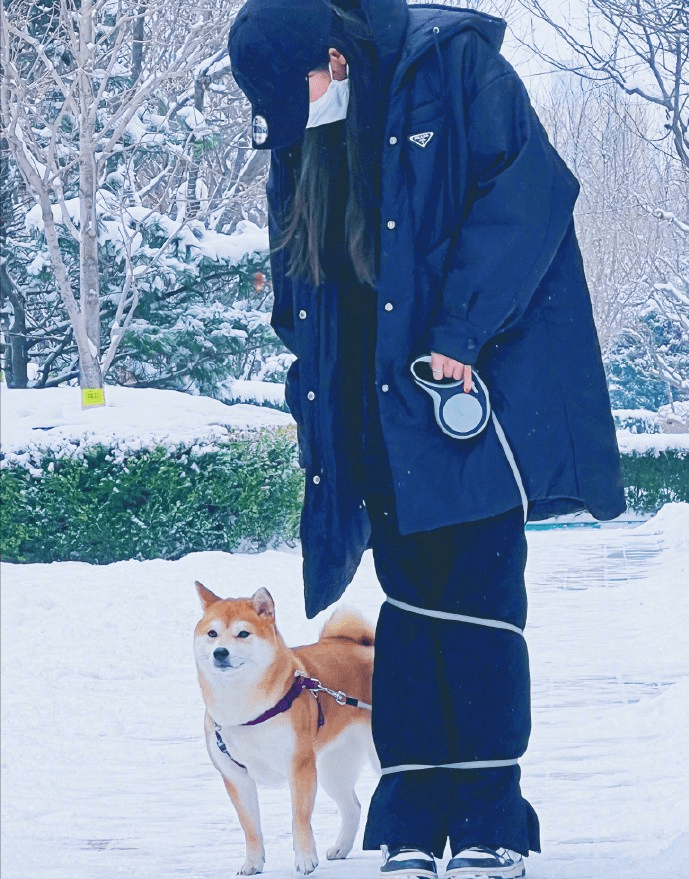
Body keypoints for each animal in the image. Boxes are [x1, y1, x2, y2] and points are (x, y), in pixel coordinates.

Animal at [192, 580, 376, 876]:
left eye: (243, 633)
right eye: (212, 633)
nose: (220, 652)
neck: (245, 710)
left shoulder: (299, 767)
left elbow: (299, 819)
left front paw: (305, 860)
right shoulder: (236, 777)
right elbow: (250, 827)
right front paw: (252, 864)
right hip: (333, 767)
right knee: (353, 807)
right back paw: (341, 848)